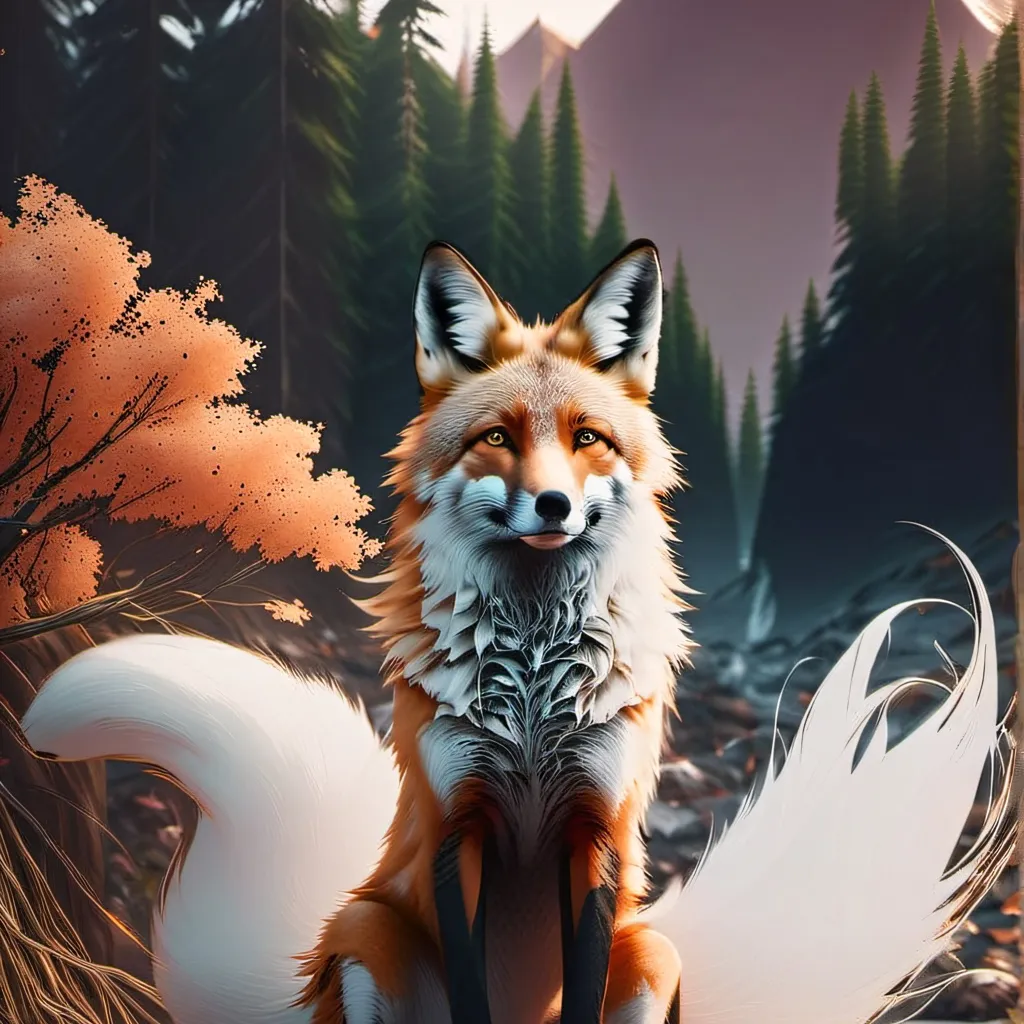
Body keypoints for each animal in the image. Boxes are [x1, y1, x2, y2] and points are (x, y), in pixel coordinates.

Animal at [19, 239, 1015, 1024]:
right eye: (497, 437)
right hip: (363, 927)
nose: (553, 505)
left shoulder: (594, 835)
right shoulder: (459, 829)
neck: (534, 694)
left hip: (651, 952)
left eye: (589, 438)